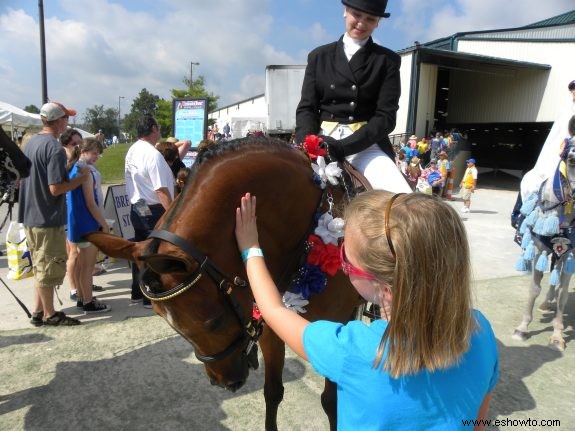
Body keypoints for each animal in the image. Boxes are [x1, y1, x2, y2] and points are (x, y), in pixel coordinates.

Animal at [85, 137, 364, 430]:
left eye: (214, 322)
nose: (225, 383)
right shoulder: (272, 321)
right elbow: (273, 391)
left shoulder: (336, 324)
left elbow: (331, 402)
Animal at [516, 129, 575, 352]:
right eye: (571, 159)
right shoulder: (539, 249)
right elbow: (534, 288)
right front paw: (522, 329)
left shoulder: (570, 255)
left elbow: (563, 293)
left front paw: (557, 335)